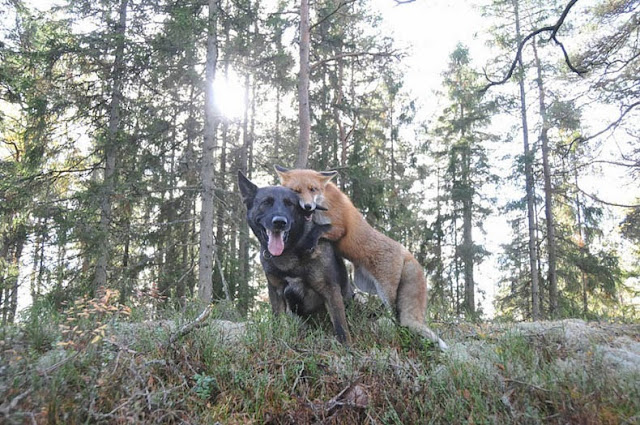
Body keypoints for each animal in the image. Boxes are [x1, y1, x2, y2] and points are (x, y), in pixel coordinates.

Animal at [238, 171, 352, 342]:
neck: (290, 251)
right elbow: (277, 322)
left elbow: (341, 327)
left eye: (289, 204)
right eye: (266, 202)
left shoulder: (330, 290)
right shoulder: (276, 291)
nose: (279, 222)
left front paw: (347, 347)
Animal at [276, 164, 450, 350]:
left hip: (386, 291)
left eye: (312, 189)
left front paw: (309, 240)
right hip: (364, 284)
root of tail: (407, 252)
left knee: (395, 313)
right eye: (296, 191)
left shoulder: (339, 227)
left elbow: (320, 229)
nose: (308, 206)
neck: (323, 203)